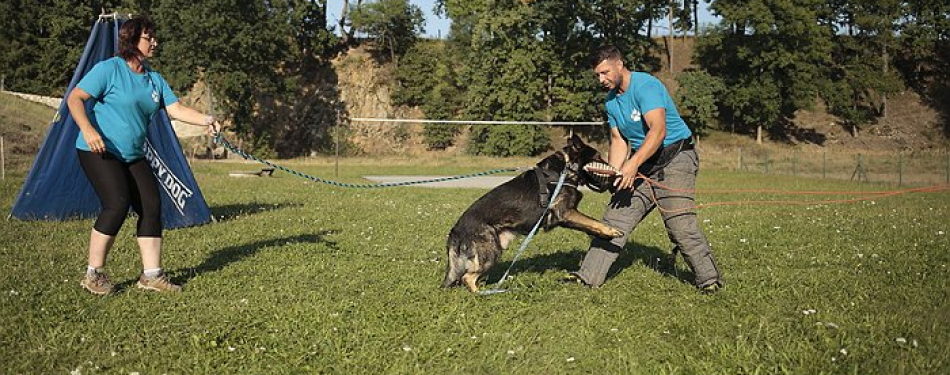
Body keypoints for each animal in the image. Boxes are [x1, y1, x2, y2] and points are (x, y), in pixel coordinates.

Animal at [444, 135, 624, 294]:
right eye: (598, 157)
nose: (617, 174)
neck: (565, 169)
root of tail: (456, 230)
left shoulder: (566, 217)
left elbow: (589, 225)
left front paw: (604, 235)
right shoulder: (565, 212)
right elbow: (592, 221)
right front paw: (612, 231)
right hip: (491, 252)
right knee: (467, 277)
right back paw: (483, 294)